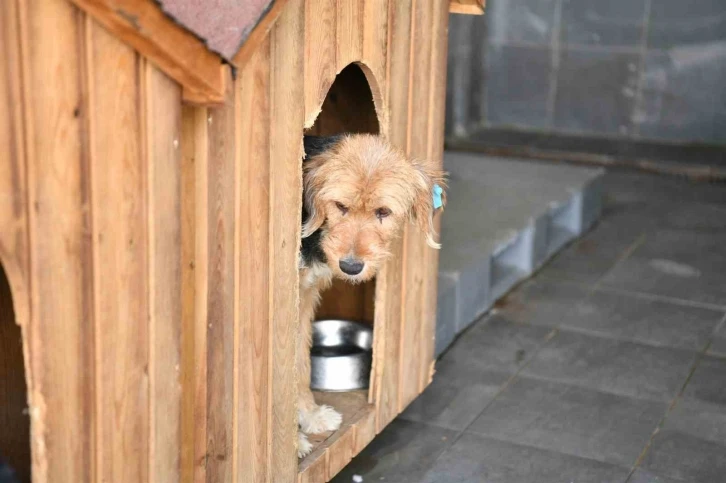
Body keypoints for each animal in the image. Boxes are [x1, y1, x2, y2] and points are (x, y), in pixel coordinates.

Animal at [298, 134, 446, 460]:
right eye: (340, 206)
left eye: (383, 212)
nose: (351, 267)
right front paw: (293, 443)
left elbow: (298, 365)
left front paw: (309, 415)